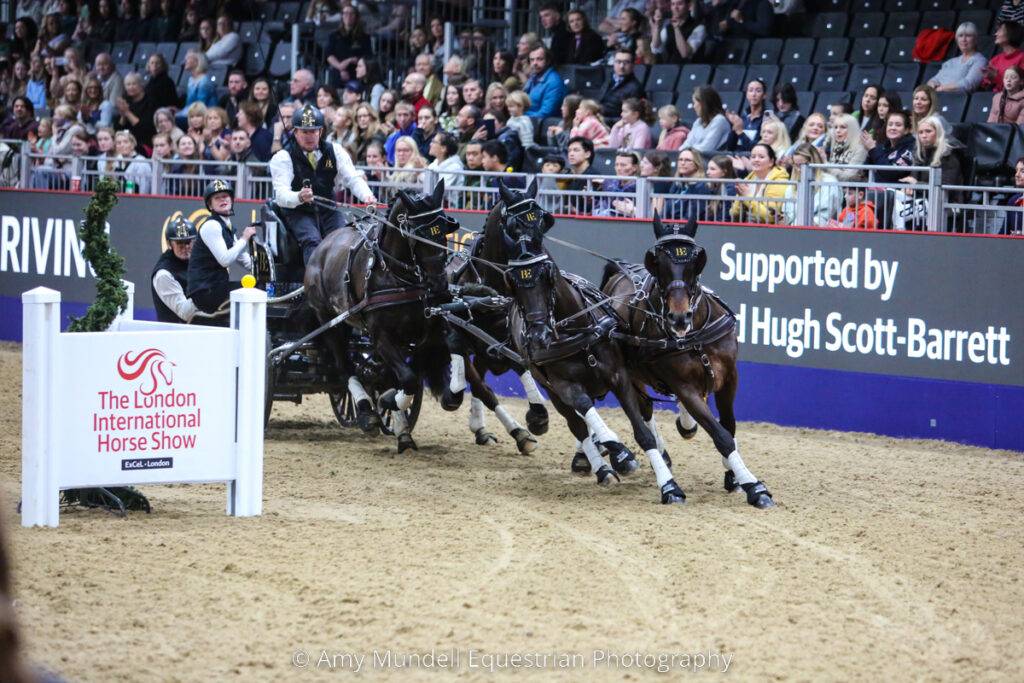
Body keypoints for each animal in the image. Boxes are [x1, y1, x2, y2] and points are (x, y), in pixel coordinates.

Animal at [304, 180, 458, 452]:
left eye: (443, 234)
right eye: (417, 236)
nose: (440, 288)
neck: (395, 275)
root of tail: (322, 246)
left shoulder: (427, 333)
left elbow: (417, 370)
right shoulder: (381, 337)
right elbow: (407, 378)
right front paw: (387, 402)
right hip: (329, 322)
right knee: (345, 367)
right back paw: (366, 412)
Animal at [496, 183, 687, 504]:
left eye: (548, 275)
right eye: (513, 281)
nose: (539, 336)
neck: (574, 329)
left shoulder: (619, 375)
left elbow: (642, 430)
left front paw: (668, 484)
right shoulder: (564, 386)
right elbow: (585, 412)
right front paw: (619, 452)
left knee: (643, 409)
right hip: (551, 389)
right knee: (577, 425)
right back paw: (603, 467)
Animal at [600, 214, 774, 508]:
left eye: (695, 262)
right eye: (658, 263)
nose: (678, 318)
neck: (695, 336)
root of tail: (619, 273)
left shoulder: (730, 378)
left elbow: (729, 426)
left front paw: (733, 476)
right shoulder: (685, 387)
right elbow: (721, 435)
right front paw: (754, 486)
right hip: (630, 375)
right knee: (642, 412)